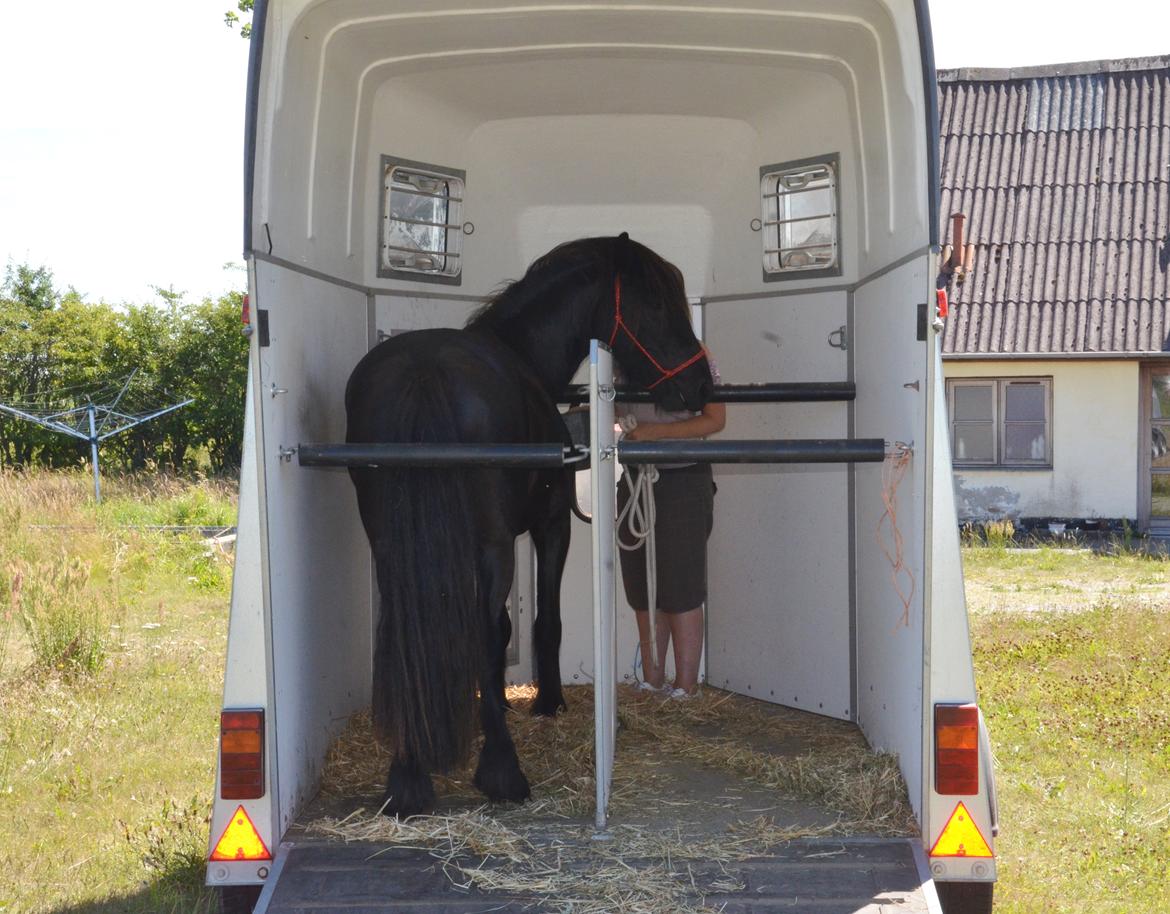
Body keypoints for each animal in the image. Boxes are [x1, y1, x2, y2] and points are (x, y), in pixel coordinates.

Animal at [346, 231, 711, 814]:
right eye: (655, 302)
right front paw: (546, 702)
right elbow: (539, 622)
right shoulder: (550, 528)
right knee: (484, 631)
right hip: (492, 545)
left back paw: (408, 775)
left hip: (390, 545)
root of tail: (424, 372)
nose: (701, 385)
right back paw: (502, 770)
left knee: (403, 633)